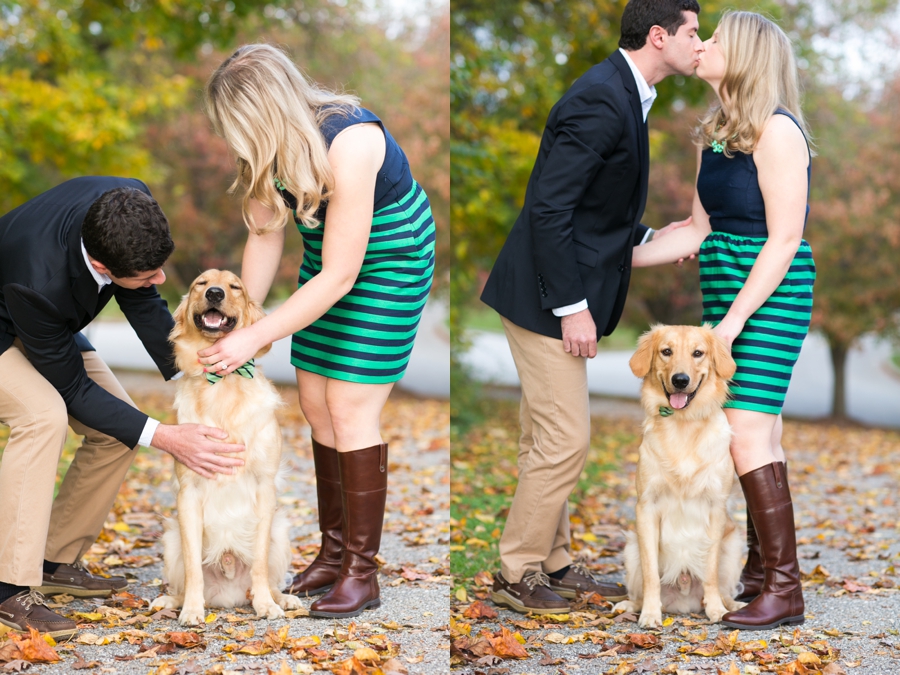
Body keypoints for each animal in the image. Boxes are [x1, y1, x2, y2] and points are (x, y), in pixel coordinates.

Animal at [149, 270, 300, 628]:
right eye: (200, 284)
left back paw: (280, 598)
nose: (215, 293)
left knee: (271, 578)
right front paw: (192, 609)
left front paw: (265, 605)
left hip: (281, 530)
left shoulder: (264, 488)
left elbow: (259, 561)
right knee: (182, 581)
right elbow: (194, 567)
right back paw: (171, 601)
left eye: (235, 287)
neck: (222, 383)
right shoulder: (188, 493)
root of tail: (230, 597)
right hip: (171, 537)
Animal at [612, 324, 744, 624]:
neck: (684, 424)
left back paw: (732, 606)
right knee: (638, 590)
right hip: (631, 547)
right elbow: (651, 573)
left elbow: (710, 571)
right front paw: (650, 614)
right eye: (666, 351)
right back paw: (630, 606)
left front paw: (715, 609)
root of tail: (684, 603)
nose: (681, 380)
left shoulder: (716, 508)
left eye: (698, 353)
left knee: (725, 589)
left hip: (733, 545)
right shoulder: (646, 508)